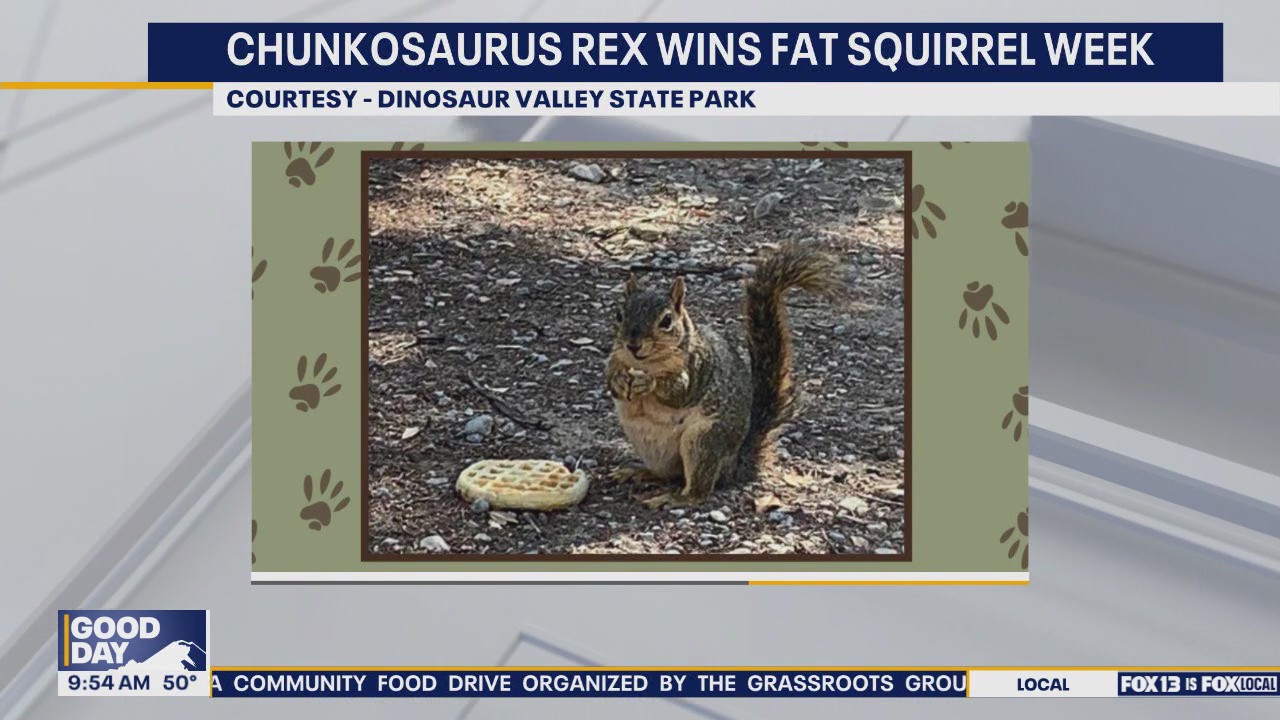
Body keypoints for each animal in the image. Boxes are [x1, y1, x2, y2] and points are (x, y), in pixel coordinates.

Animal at [605, 244, 842, 504]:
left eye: (666, 321)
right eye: (619, 315)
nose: (633, 345)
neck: (647, 362)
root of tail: (734, 463)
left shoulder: (697, 367)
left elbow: (680, 391)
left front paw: (648, 382)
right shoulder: (616, 357)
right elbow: (609, 378)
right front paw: (619, 381)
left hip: (703, 441)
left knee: (699, 490)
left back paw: (673, 498)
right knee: (668, 474)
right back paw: (638, 471)